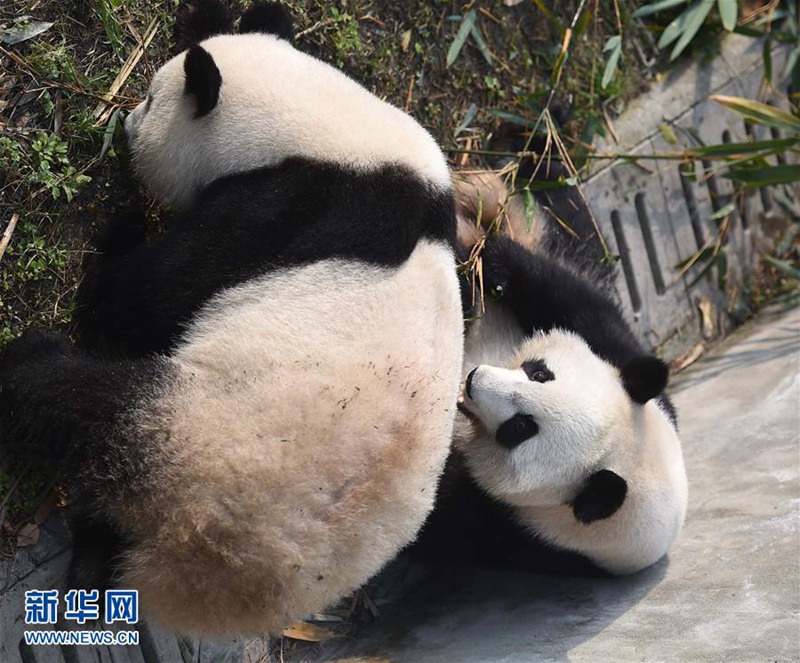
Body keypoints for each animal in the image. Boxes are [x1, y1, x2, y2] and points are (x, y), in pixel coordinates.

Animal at [0, 0, 463, 636]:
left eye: (150, 98)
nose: (127, 126)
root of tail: (206, 577)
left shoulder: (283, 208)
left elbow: (147, 296)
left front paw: (117, 249)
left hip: (194, 430)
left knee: (86, 402)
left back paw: (29, 366)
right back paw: (93, 564)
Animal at [412, 162, 688, 577]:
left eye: (520, 428)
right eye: (539, 373)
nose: (474, 379)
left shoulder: (512, 530)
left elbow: (435, 520)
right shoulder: (618, 352)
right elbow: (564, 293)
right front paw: (492, 257)